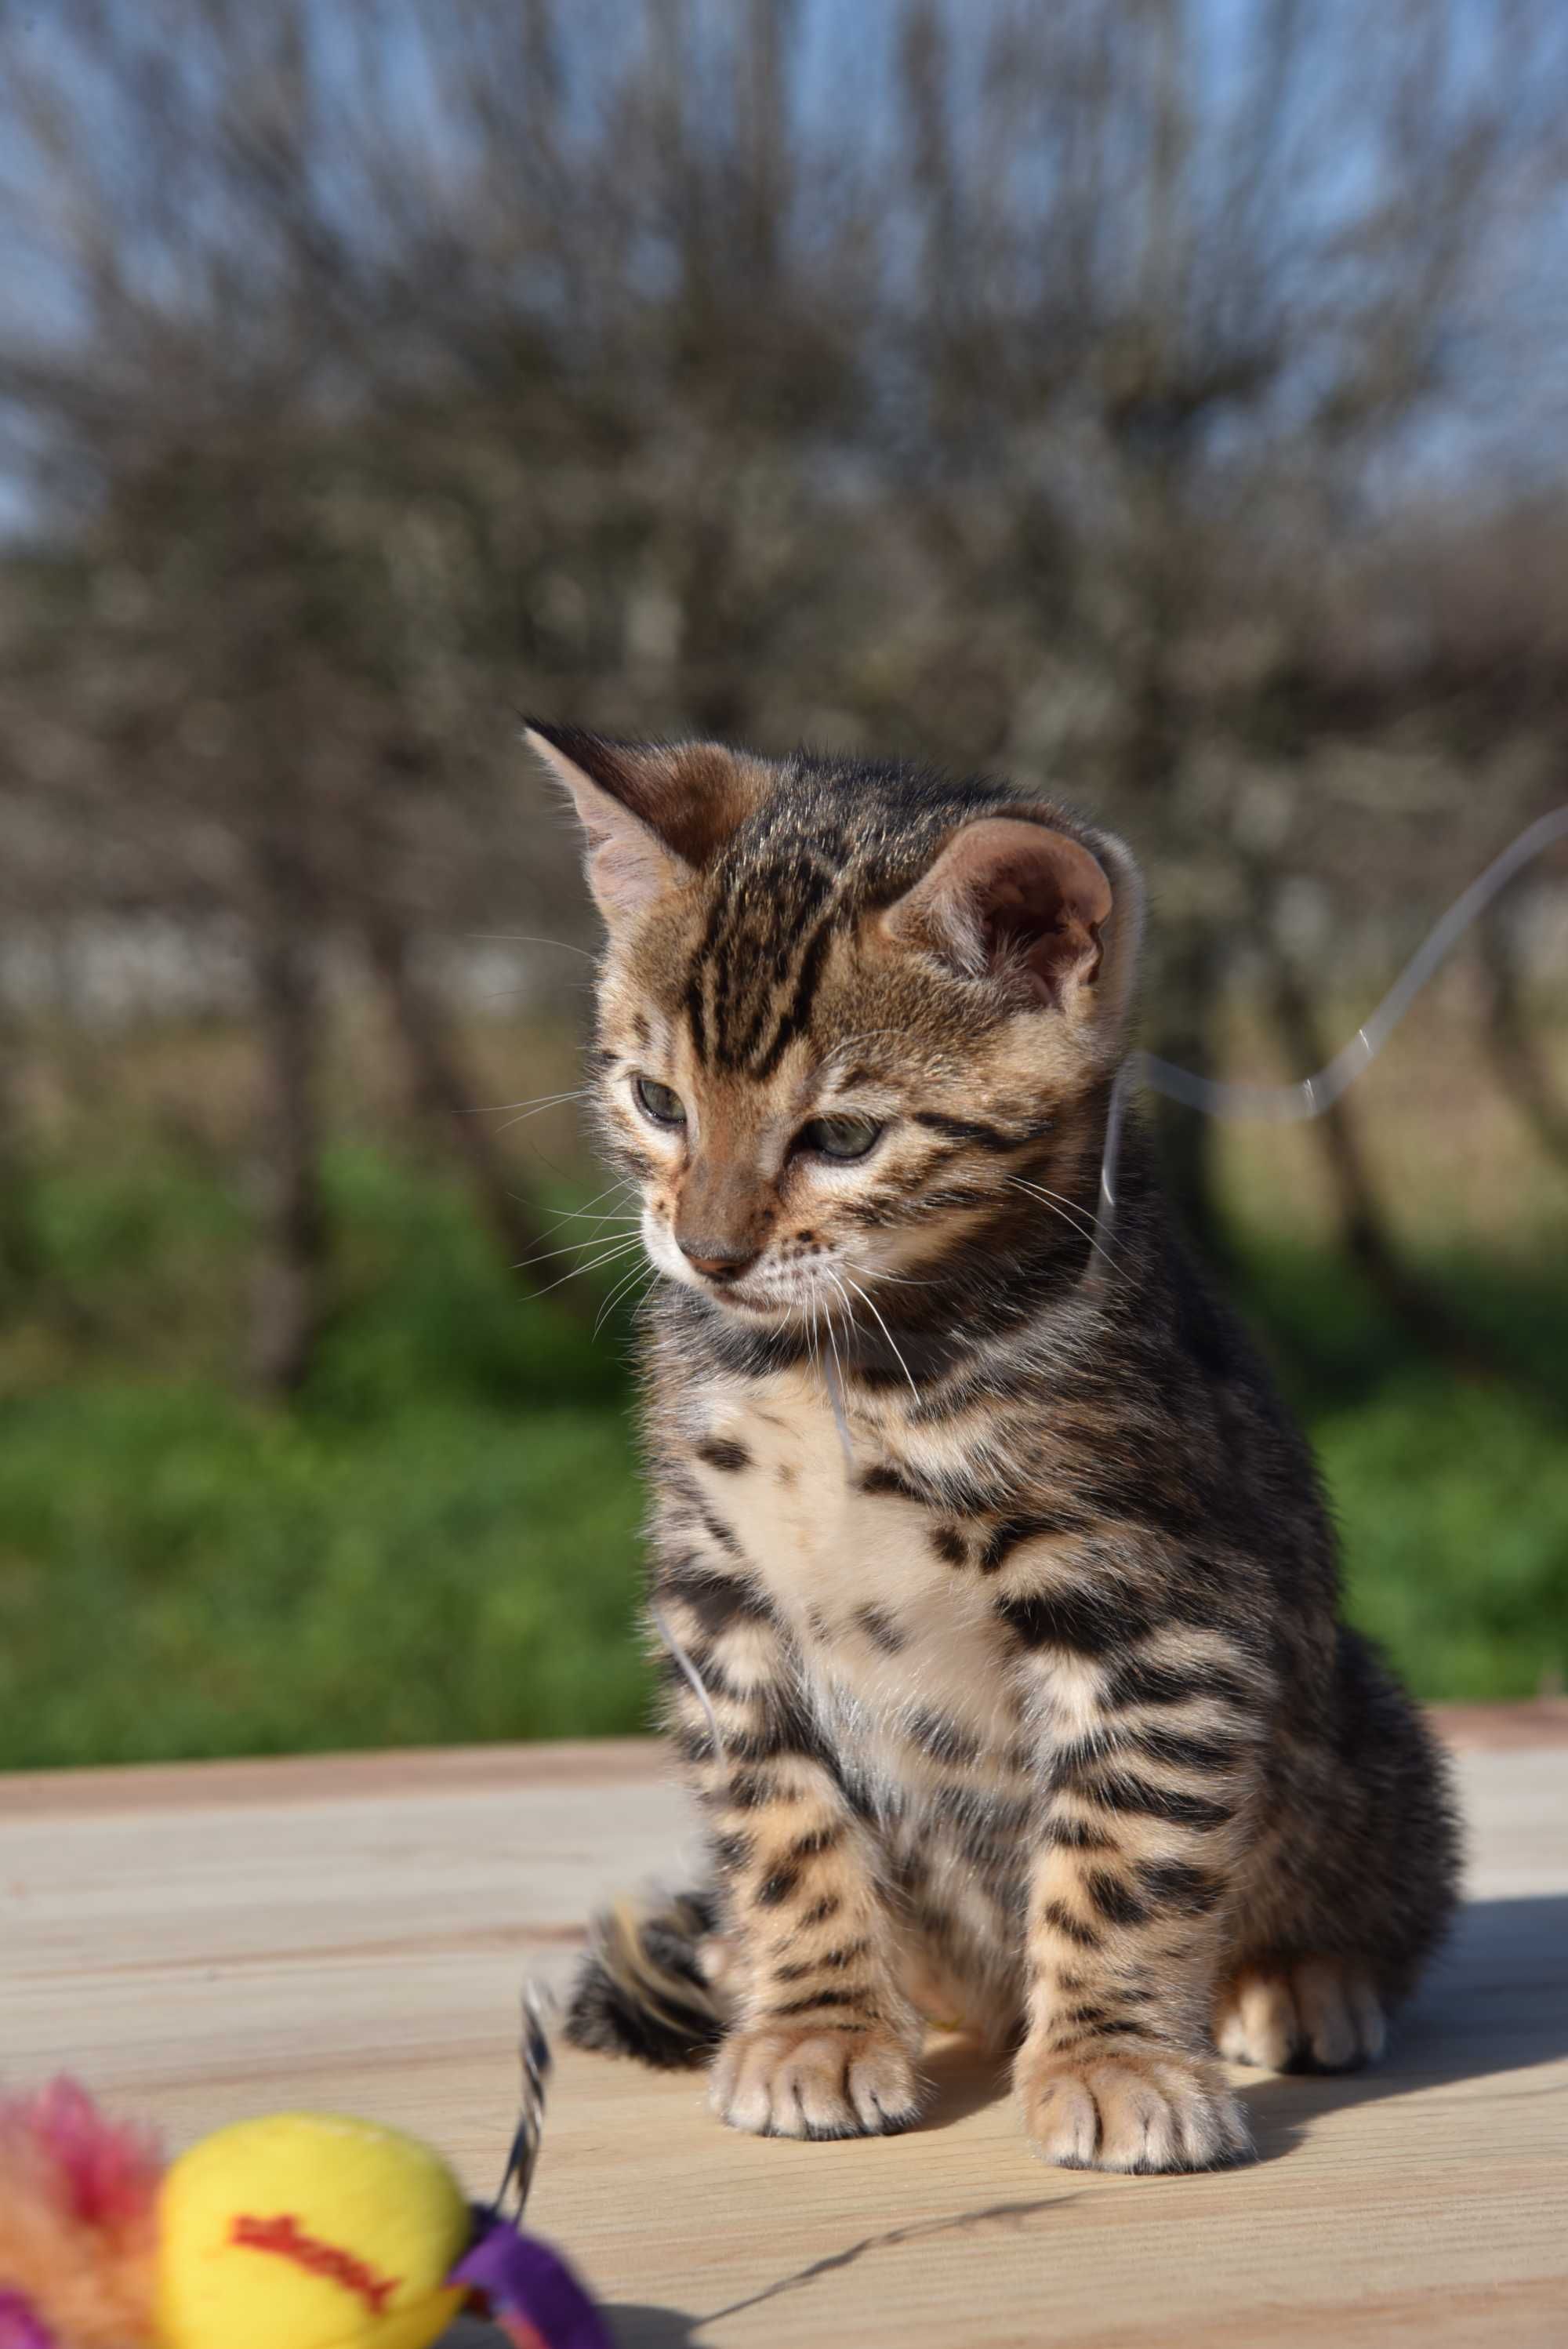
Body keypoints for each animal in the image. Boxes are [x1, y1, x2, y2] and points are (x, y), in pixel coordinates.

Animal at [535, 723, 1455, 2170]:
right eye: (657, 1102)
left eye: (842, 1136)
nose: (709, 1250)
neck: (838, 1365)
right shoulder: (717, 1594)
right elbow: (782, 1825)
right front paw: (816, 2021)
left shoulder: (1153, 1605)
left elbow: (1120, 1848)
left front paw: (1117, 2056)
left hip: (1361, 1725)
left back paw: (1300, 1978)